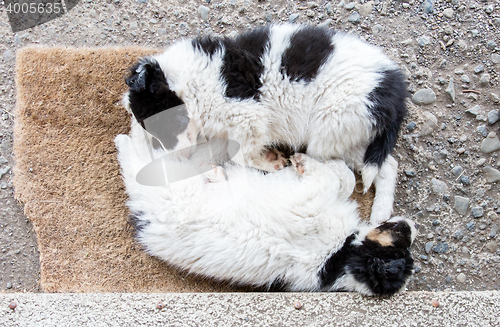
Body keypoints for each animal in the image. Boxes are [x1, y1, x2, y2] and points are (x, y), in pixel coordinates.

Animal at [115, 118, 416, 298]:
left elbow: (337, 178)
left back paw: (127, 137)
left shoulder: (309, 199)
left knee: (141, 154)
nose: (412, 225)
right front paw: (311, 161)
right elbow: (343, 177)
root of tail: (148, 210)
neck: (339, 256)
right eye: (401, 238)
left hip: (168, 177)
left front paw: (304, 162)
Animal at [123, 24, 408, 227]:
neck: (192, 82)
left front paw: (269, 161)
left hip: (329, 123)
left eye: (163, 124)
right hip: (350, 131)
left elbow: (242, 155)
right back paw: (380, 215)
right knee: (384, 166)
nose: (177, 158)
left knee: (344, 171)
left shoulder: (248, 116)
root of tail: (394, 90)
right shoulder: (223, 129)